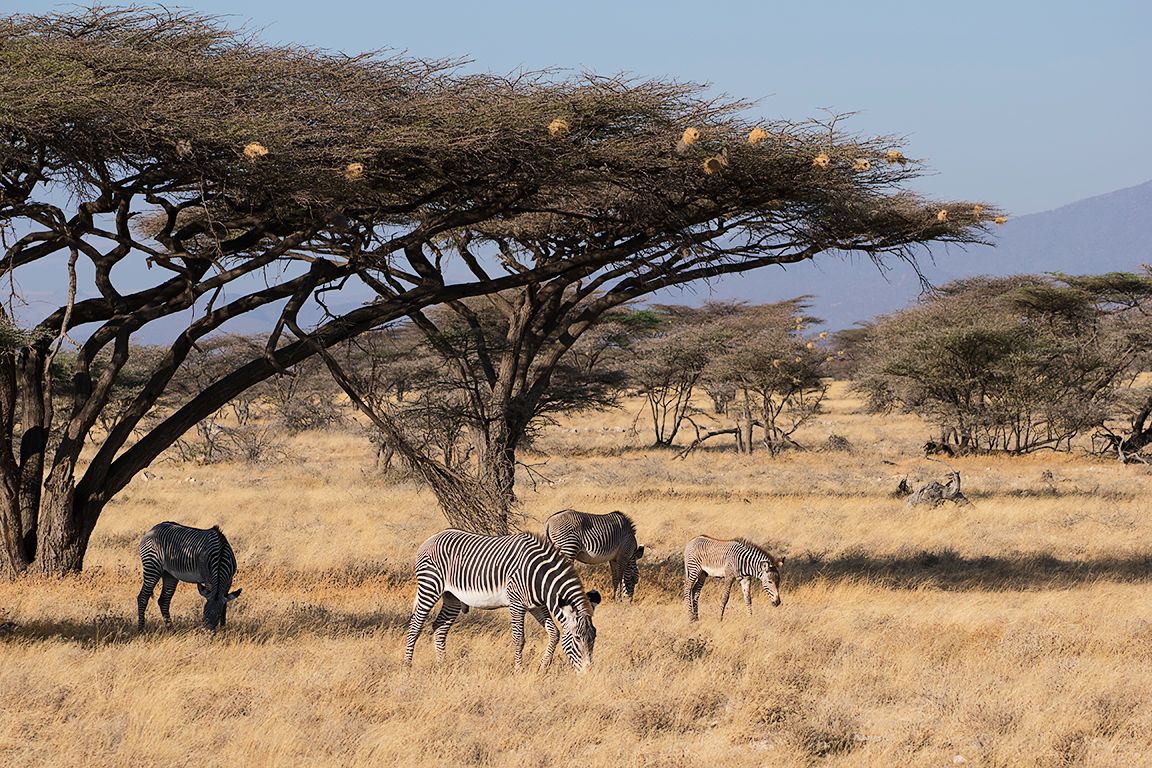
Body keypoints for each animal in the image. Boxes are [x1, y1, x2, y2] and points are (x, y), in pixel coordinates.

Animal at [404, 529, 601, 672]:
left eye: (594, 637)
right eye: (577, 638)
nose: (588, 672)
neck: (540, 578)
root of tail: (432, 538)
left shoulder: (536, 605)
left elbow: (554, 633)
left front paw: (543, 667)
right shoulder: (516, 604)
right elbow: (519, 639)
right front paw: (518, 671)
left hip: (452, 596)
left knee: (439, 627)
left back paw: (442, 665)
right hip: (430, 587)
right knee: (415, 626)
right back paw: (408, 667)